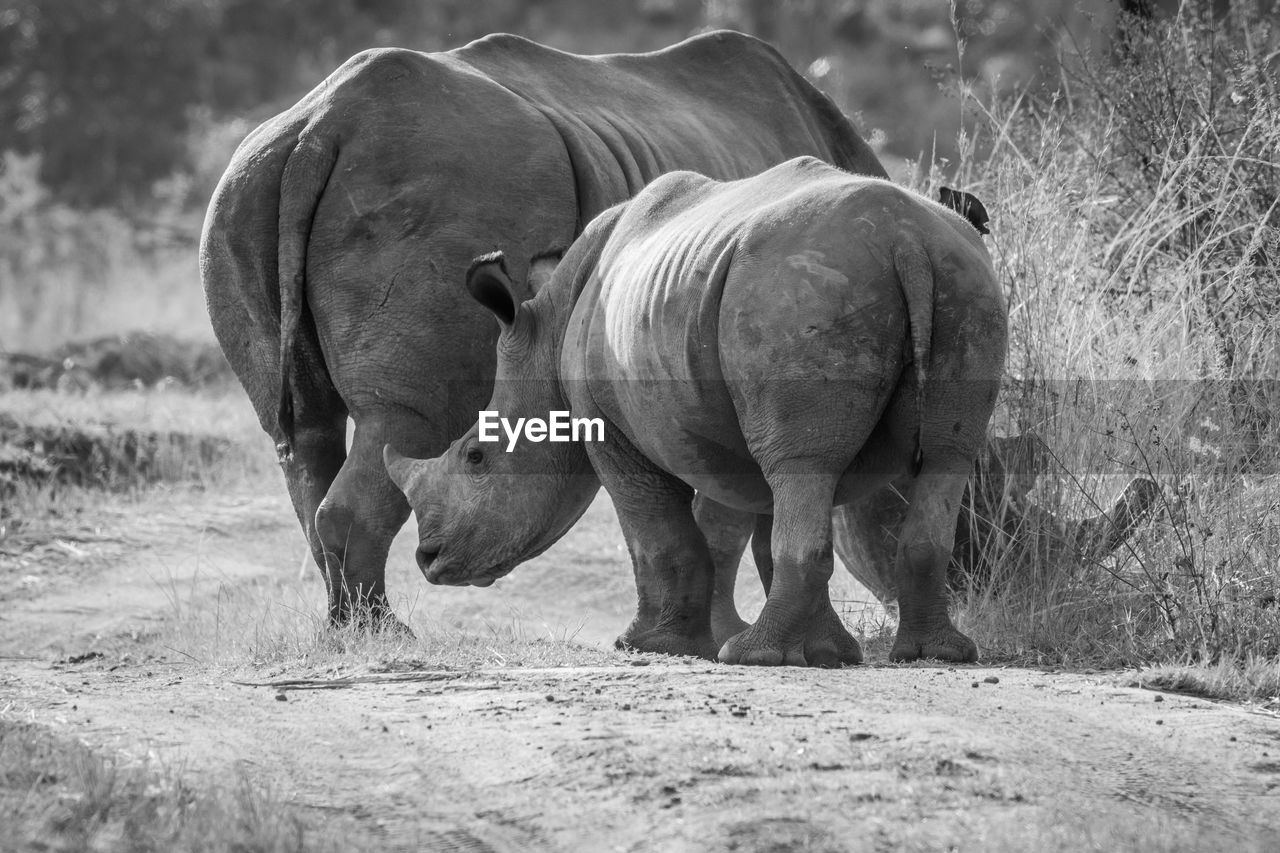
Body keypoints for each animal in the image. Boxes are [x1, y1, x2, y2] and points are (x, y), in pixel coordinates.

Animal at [199, 31, 890, 625]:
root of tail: (320, 129)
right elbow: (750, 513)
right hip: (443, 184)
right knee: (403, 418)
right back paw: (386, 635)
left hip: (244, 189)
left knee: (300, 435)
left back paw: (348, 632)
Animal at [384, 157, 1003, 666]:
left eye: (475, 457)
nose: (429, 559)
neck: (546, 337)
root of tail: (906, 238)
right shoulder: (721, 425)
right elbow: (741, 529)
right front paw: (825, 653)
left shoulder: (608, 428)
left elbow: (659, 533)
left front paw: (649, 645)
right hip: (959, 282)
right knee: (944, 456)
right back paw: (934, 655)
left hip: (797, 289)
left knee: (803, 465)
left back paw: (752, 657)